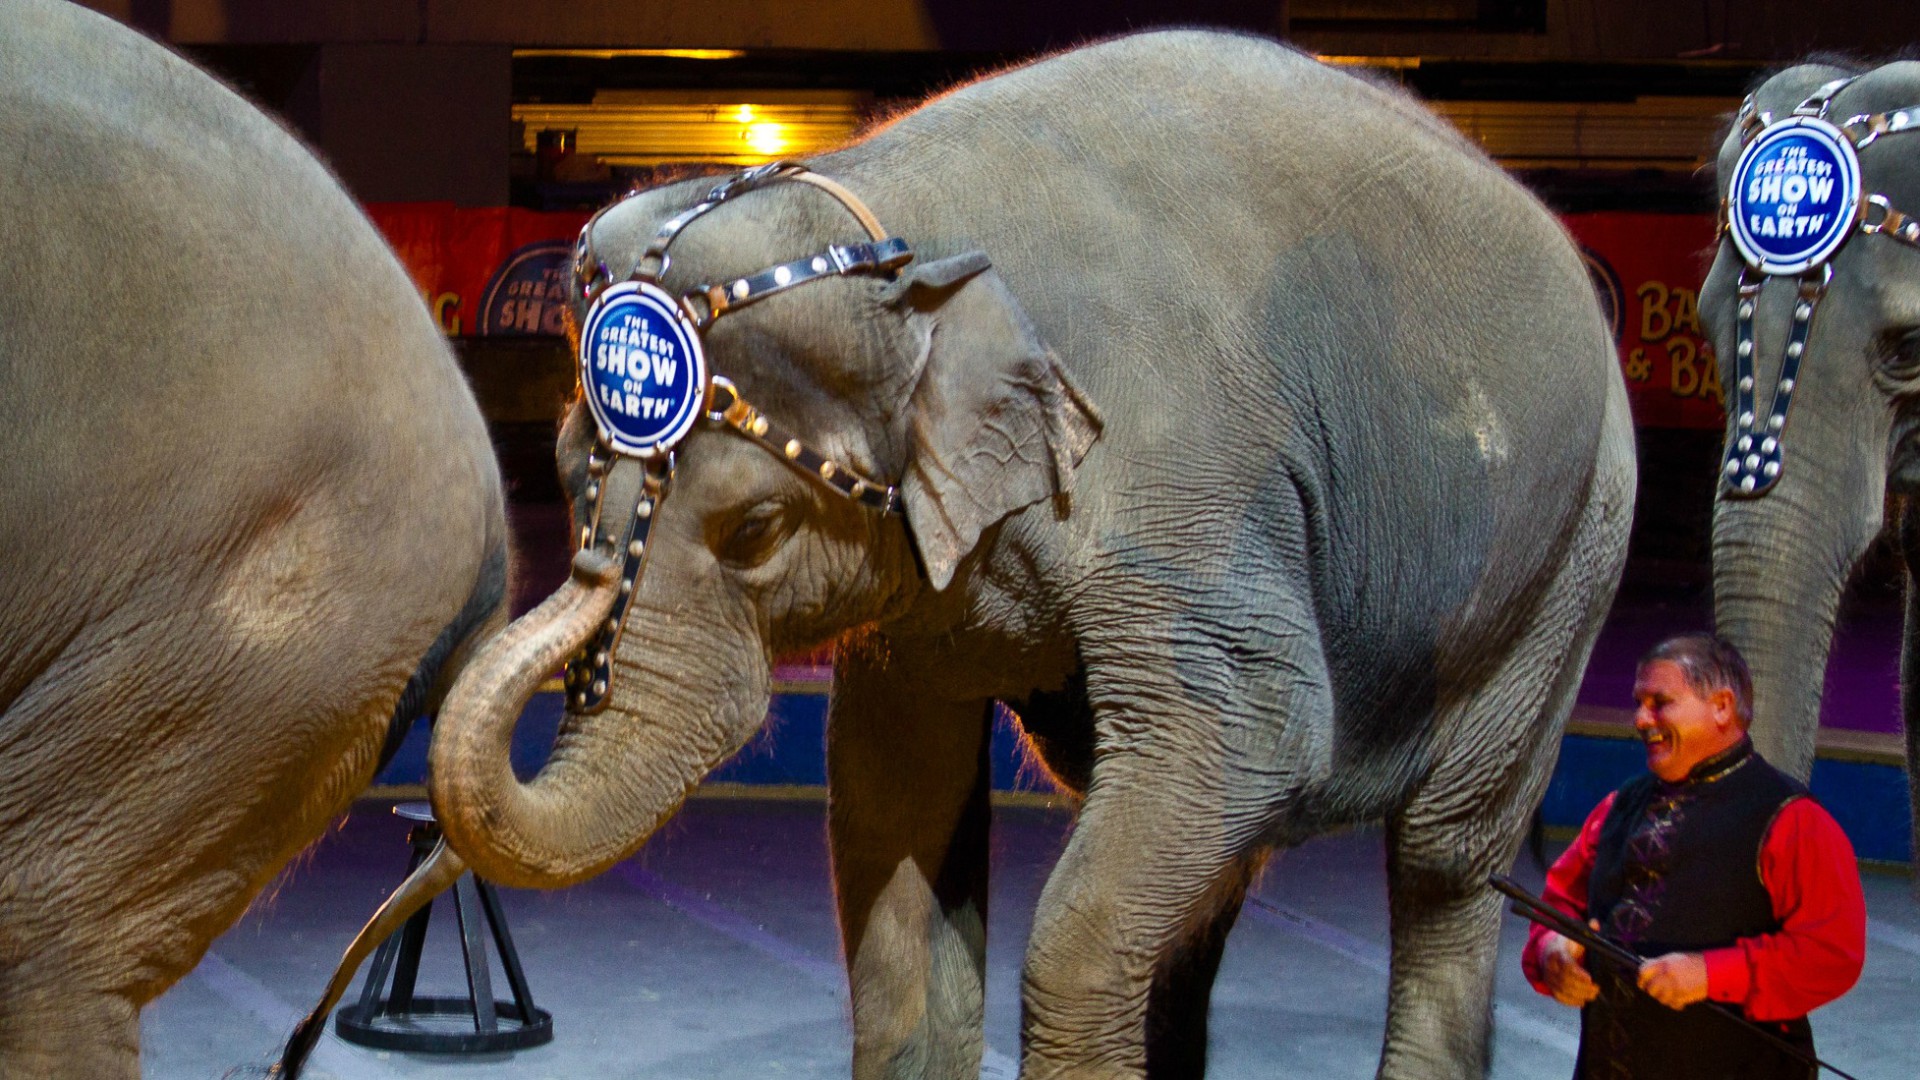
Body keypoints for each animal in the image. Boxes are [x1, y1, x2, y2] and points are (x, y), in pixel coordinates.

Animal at [424, 29, 1635, 1068]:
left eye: (755, 531)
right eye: (568, 474)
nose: (581, 573)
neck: (897, 232)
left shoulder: (1181, 500)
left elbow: (1254, 735)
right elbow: (895, 807)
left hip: (1571, 561)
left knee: (1445, 857)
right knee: (1214, 884)